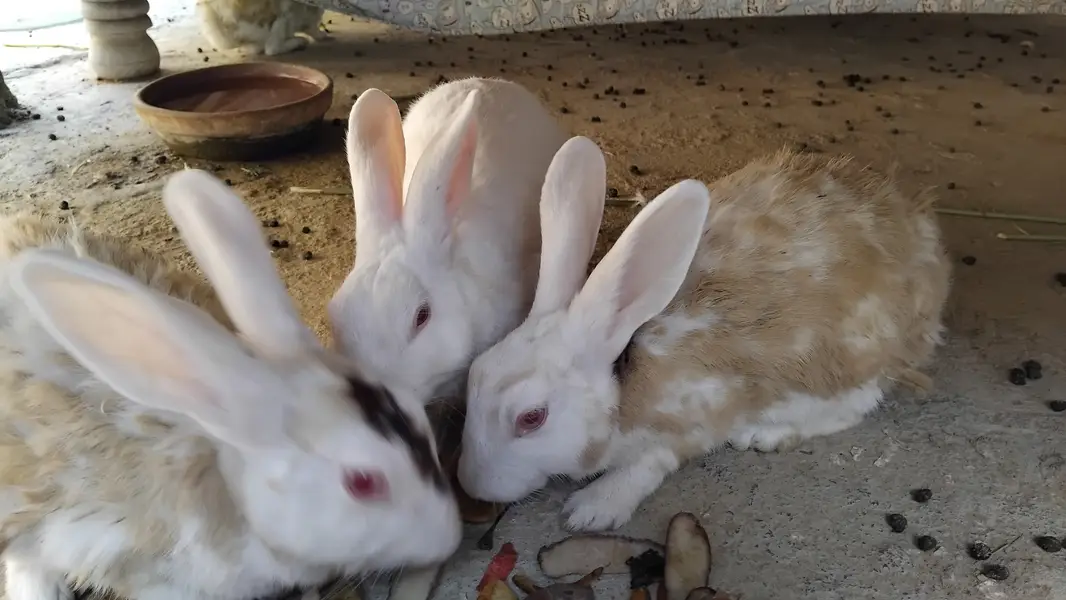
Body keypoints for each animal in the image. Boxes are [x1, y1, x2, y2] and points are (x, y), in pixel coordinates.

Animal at [458, 139, 951, 532]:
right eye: (474, 374)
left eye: (531, 418)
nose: (469, 482)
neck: (627, 379)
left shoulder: (700, 414)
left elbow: (652, 461)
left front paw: (593, 509)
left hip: (848, 361)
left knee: (859, 403)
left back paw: (765, 434)